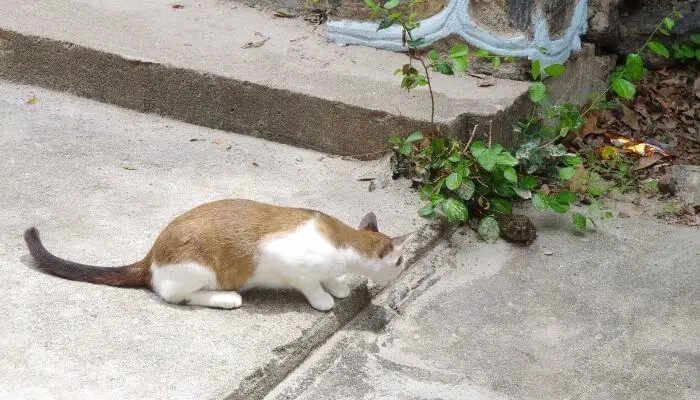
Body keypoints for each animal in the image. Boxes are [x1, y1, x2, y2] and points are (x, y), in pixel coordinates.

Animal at [24, 202, 408, 310]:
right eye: (401, 262)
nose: (402, 271)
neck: (343, 242)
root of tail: (151, 255)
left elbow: (331, 278)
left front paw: (339, 287)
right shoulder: (289, 263)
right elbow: (312, 286)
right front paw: (325, 300)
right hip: (200, 268)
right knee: (173, 295)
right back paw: (227, 298)